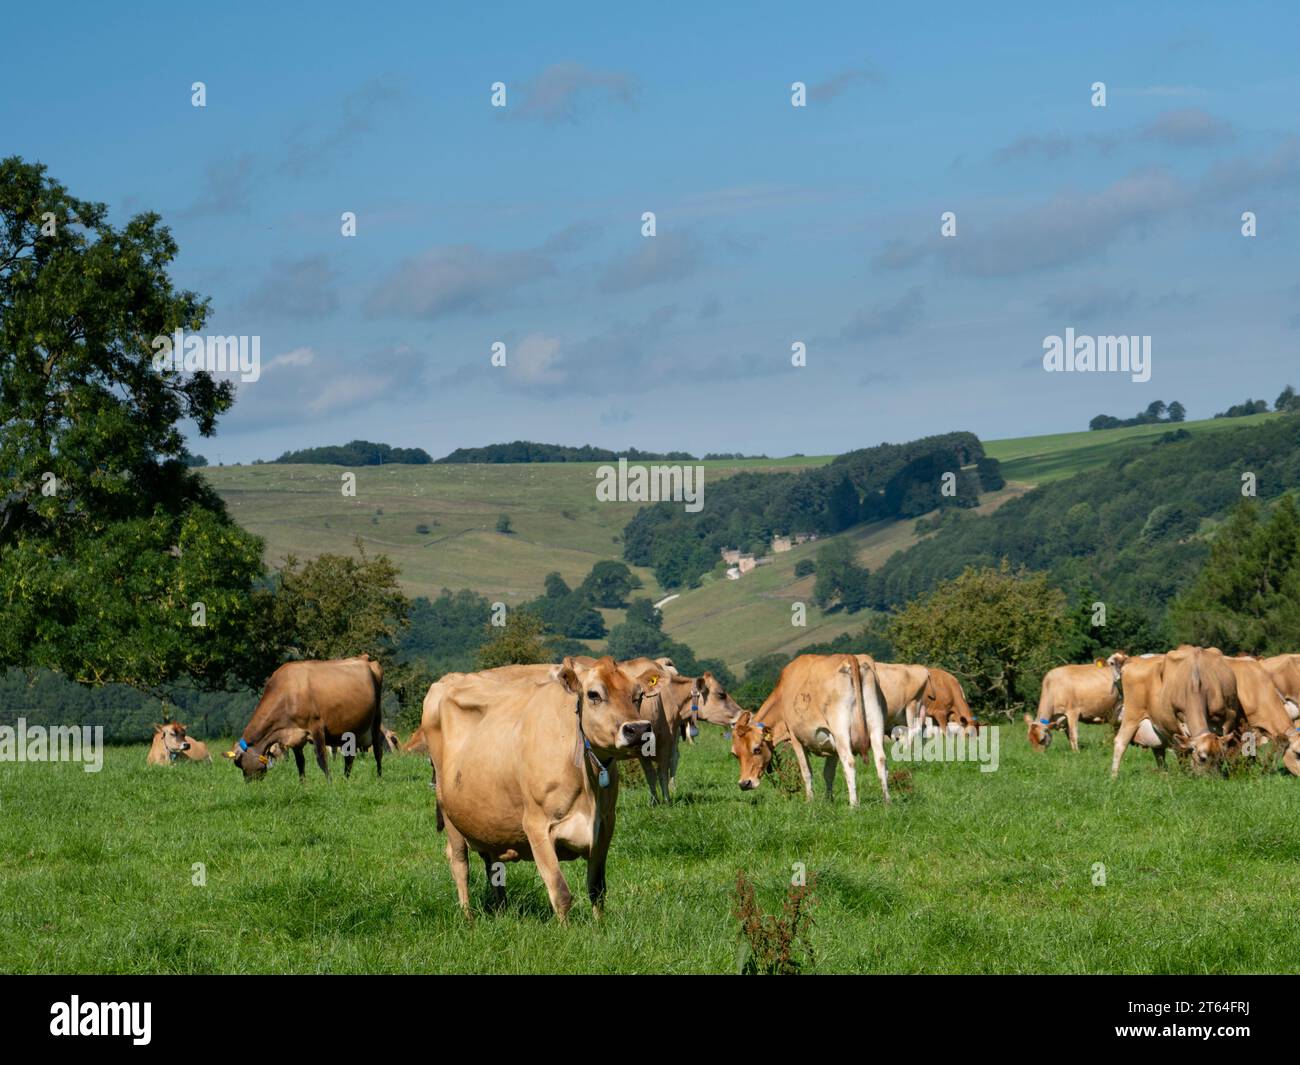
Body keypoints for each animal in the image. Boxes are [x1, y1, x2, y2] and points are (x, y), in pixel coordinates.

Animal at [227, 652, 384, 780]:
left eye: (239, 763)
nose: (249, 783)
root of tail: (364, 658)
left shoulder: (316, 726)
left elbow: (321, 758)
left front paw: (330, 783)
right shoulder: (295, 736)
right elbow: (300, 763)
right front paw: (302, 785)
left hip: (376, 718)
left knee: (377, 750)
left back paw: (379, 777)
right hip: (351, 729)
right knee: (349, 757)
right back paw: (346, 779)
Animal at [421, 652, 655, 920]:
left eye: (638, 695)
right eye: (594, 694)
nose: (638, 729)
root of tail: (448, 679)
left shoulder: (606, 824)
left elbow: (597, 888)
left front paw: (600, 924)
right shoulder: (537, 825)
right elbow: (560, 892)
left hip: (487, 819)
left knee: (493, 865)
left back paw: (502, 911)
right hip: (448, 811)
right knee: (460, 864)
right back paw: (468, 917)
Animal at [728, 650, 889, 806]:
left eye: (756, 749)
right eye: (735, 754)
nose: (744, 783)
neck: (782, 695)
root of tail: (848, 657)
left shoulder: (795, 737)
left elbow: (806, 771)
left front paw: (810, 801)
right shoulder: (831, 743)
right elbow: (828, 773)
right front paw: (828, 800)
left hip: (840, 730)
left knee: (849, 761)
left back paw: (854, 804)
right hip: (876, 723)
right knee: (880, 759)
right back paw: (887, 801)